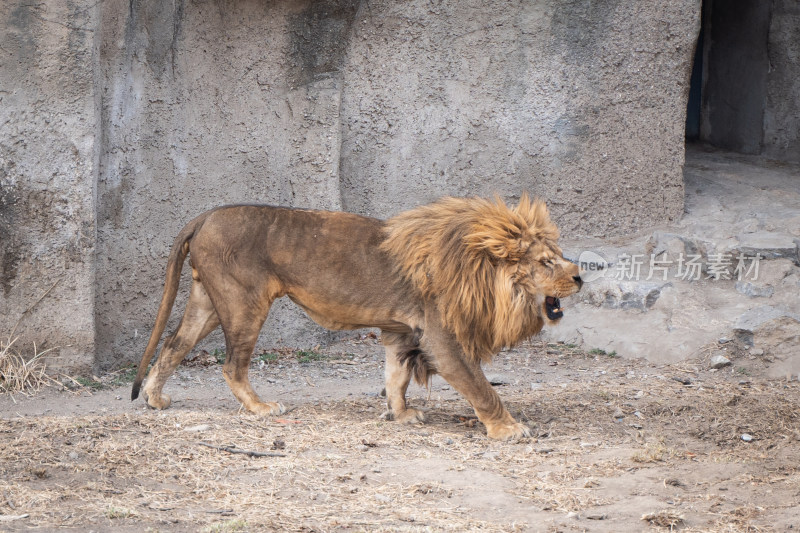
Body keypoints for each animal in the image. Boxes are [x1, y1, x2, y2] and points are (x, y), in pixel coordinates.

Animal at [131, 193, 580, 438]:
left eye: (558, 256)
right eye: (545, 262)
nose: (579, 276)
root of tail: (206, 215)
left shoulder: (401, 331)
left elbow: (396, 378)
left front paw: (400, 415)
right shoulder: (442, 337)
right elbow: (480, 386)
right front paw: (509, 429)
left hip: (208, 300)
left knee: (173, 344)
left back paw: (154, 398)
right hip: (244, 302)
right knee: (231, 365)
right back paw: (260, 408)